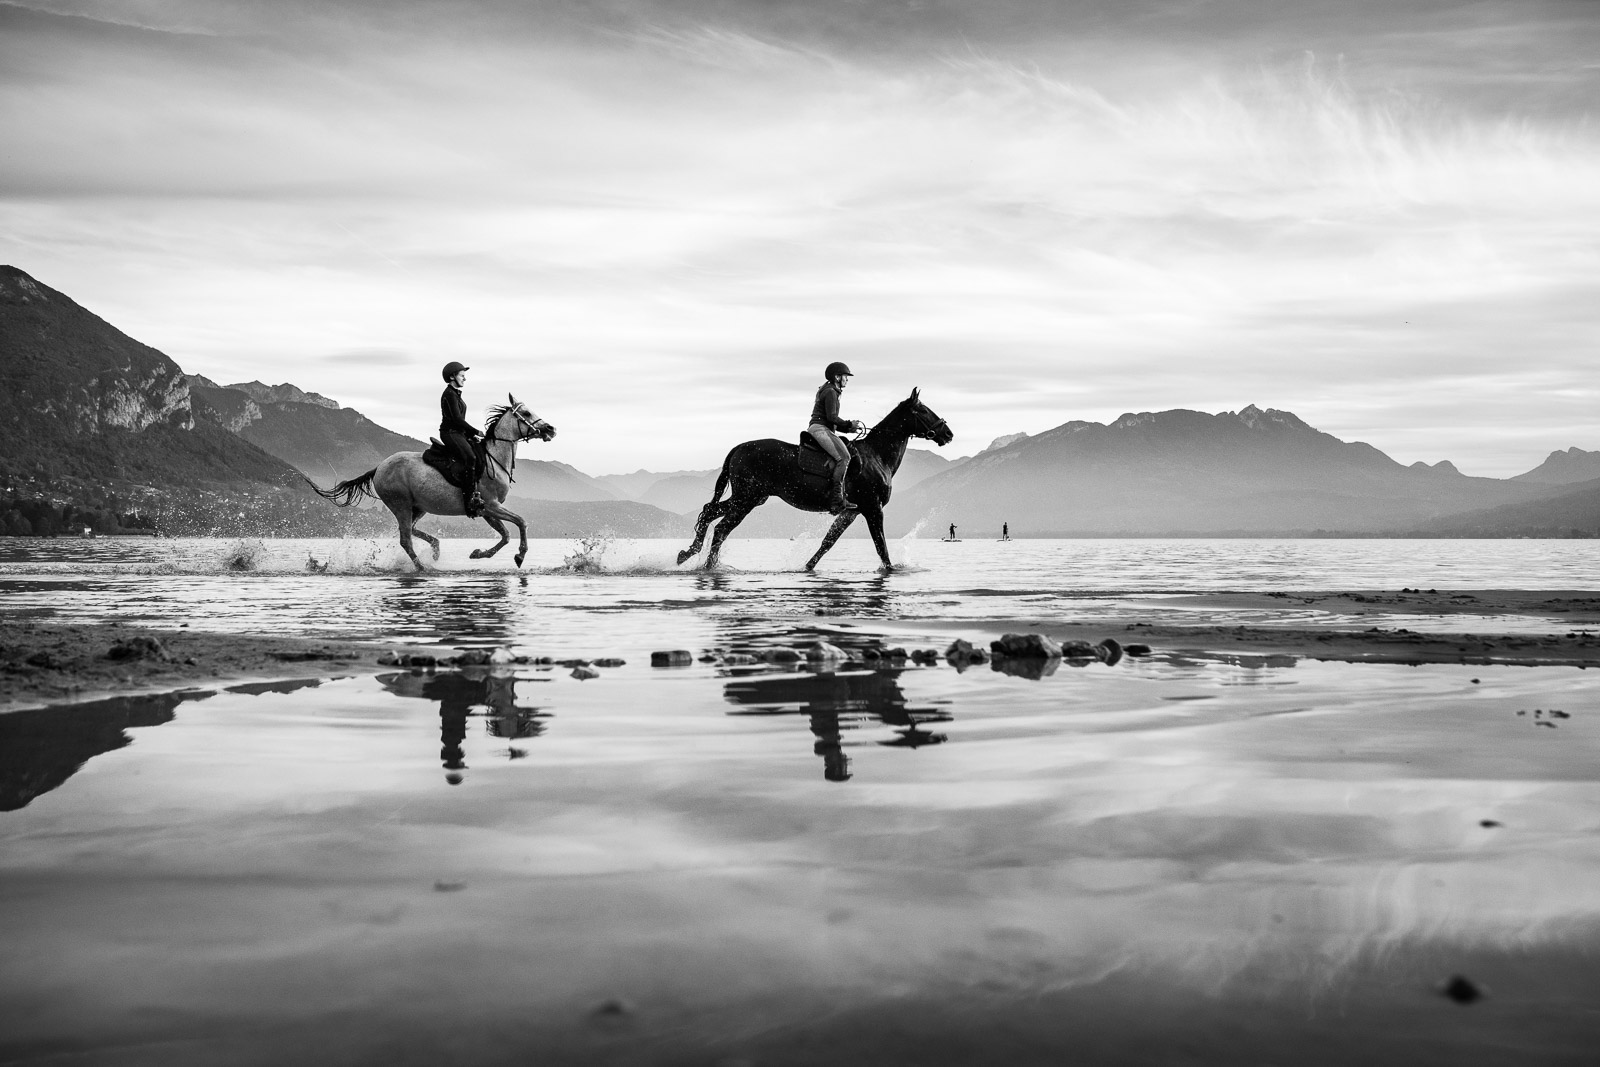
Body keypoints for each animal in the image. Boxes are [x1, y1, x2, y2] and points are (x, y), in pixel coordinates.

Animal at [675, 390, 947, 572]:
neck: (877, 456)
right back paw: (706, 564)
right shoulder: (873, 508)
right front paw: (891, 569)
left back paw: (689, 554)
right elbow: (881, 546)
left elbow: (828, 542)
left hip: (751, 498)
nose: (948, 433)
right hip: (747, 499)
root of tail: (739, 448)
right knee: (720, 527)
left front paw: (808, 566)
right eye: (923, 410)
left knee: (710, 513)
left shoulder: (852, 511)